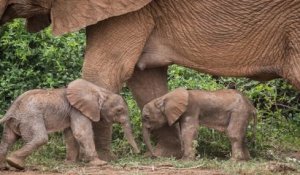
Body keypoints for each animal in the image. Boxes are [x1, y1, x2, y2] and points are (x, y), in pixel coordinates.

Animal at [0, 79, 139, 170]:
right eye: (119, 110)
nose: (138, 153)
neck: (99, 91)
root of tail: (12, 108)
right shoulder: (77, 110)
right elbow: (82, 133)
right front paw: (100, 164)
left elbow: (71, 135)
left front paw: (71, 163)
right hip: (31, 117)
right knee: (40, 138)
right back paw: (15, 163)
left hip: (16, 121)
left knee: (7, 140)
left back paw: (5, 167)